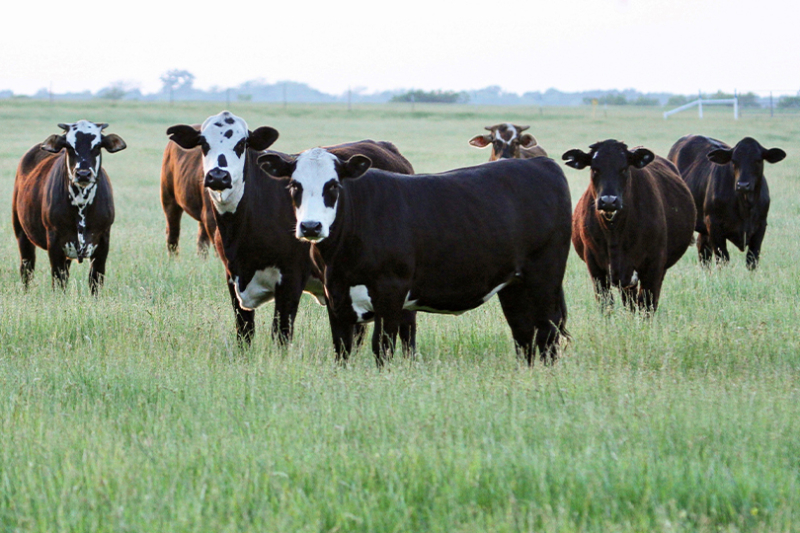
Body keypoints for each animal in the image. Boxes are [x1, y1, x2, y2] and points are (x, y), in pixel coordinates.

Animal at [12, 121, 126, 294]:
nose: (83, 174)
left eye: (97, 145)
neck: (81, 203)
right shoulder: (54, 240)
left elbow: (95, 280)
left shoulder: (103, 239)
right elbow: (58, 280)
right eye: (69, 146)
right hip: (21, 232)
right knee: (27, 268)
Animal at [166, 111, 417, 348]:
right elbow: (244, 333)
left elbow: (281, 335)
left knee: (407, 327)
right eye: (203, 143)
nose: (218, 175)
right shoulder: (232, 277)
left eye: (242, 143)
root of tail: (386, 148)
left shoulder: (291, 278)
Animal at [258, 152, 572, 365]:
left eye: (333, 185)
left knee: (547, 329)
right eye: (294, 186)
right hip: (514, 285)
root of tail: (541, 163)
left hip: (545, 276)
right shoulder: (335, 296)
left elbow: (382, 347)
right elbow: (342, 349)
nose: (311, 227)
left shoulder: (390, 291)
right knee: (523, 330)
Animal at [564, 140, 695, 312]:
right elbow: (606, 304)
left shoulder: (654, 264)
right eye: (594, 168)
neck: (614, 232)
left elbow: (647, 304)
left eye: (624, 168)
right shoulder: (594, 265)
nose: (608, 201)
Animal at [667, 135, 786, 270]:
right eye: (734, 161)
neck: (745, 206)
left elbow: (752, 259)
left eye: (758, 160)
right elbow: (723, 258)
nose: (743, 185)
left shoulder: (761, 226)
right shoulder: (713, 224)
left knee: (703, 248)